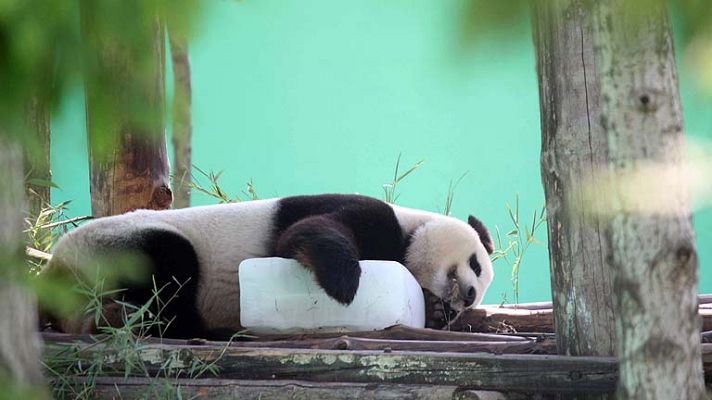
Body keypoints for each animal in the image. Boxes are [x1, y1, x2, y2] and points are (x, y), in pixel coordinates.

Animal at [45, 194, 494, 338]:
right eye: (475, 263)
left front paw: (435, 312)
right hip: (110, 247)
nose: (470, 295)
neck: (411, 228)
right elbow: (306, 233)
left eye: (479, 295)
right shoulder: (377, 216)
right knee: (170, 267)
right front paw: (344, 282)